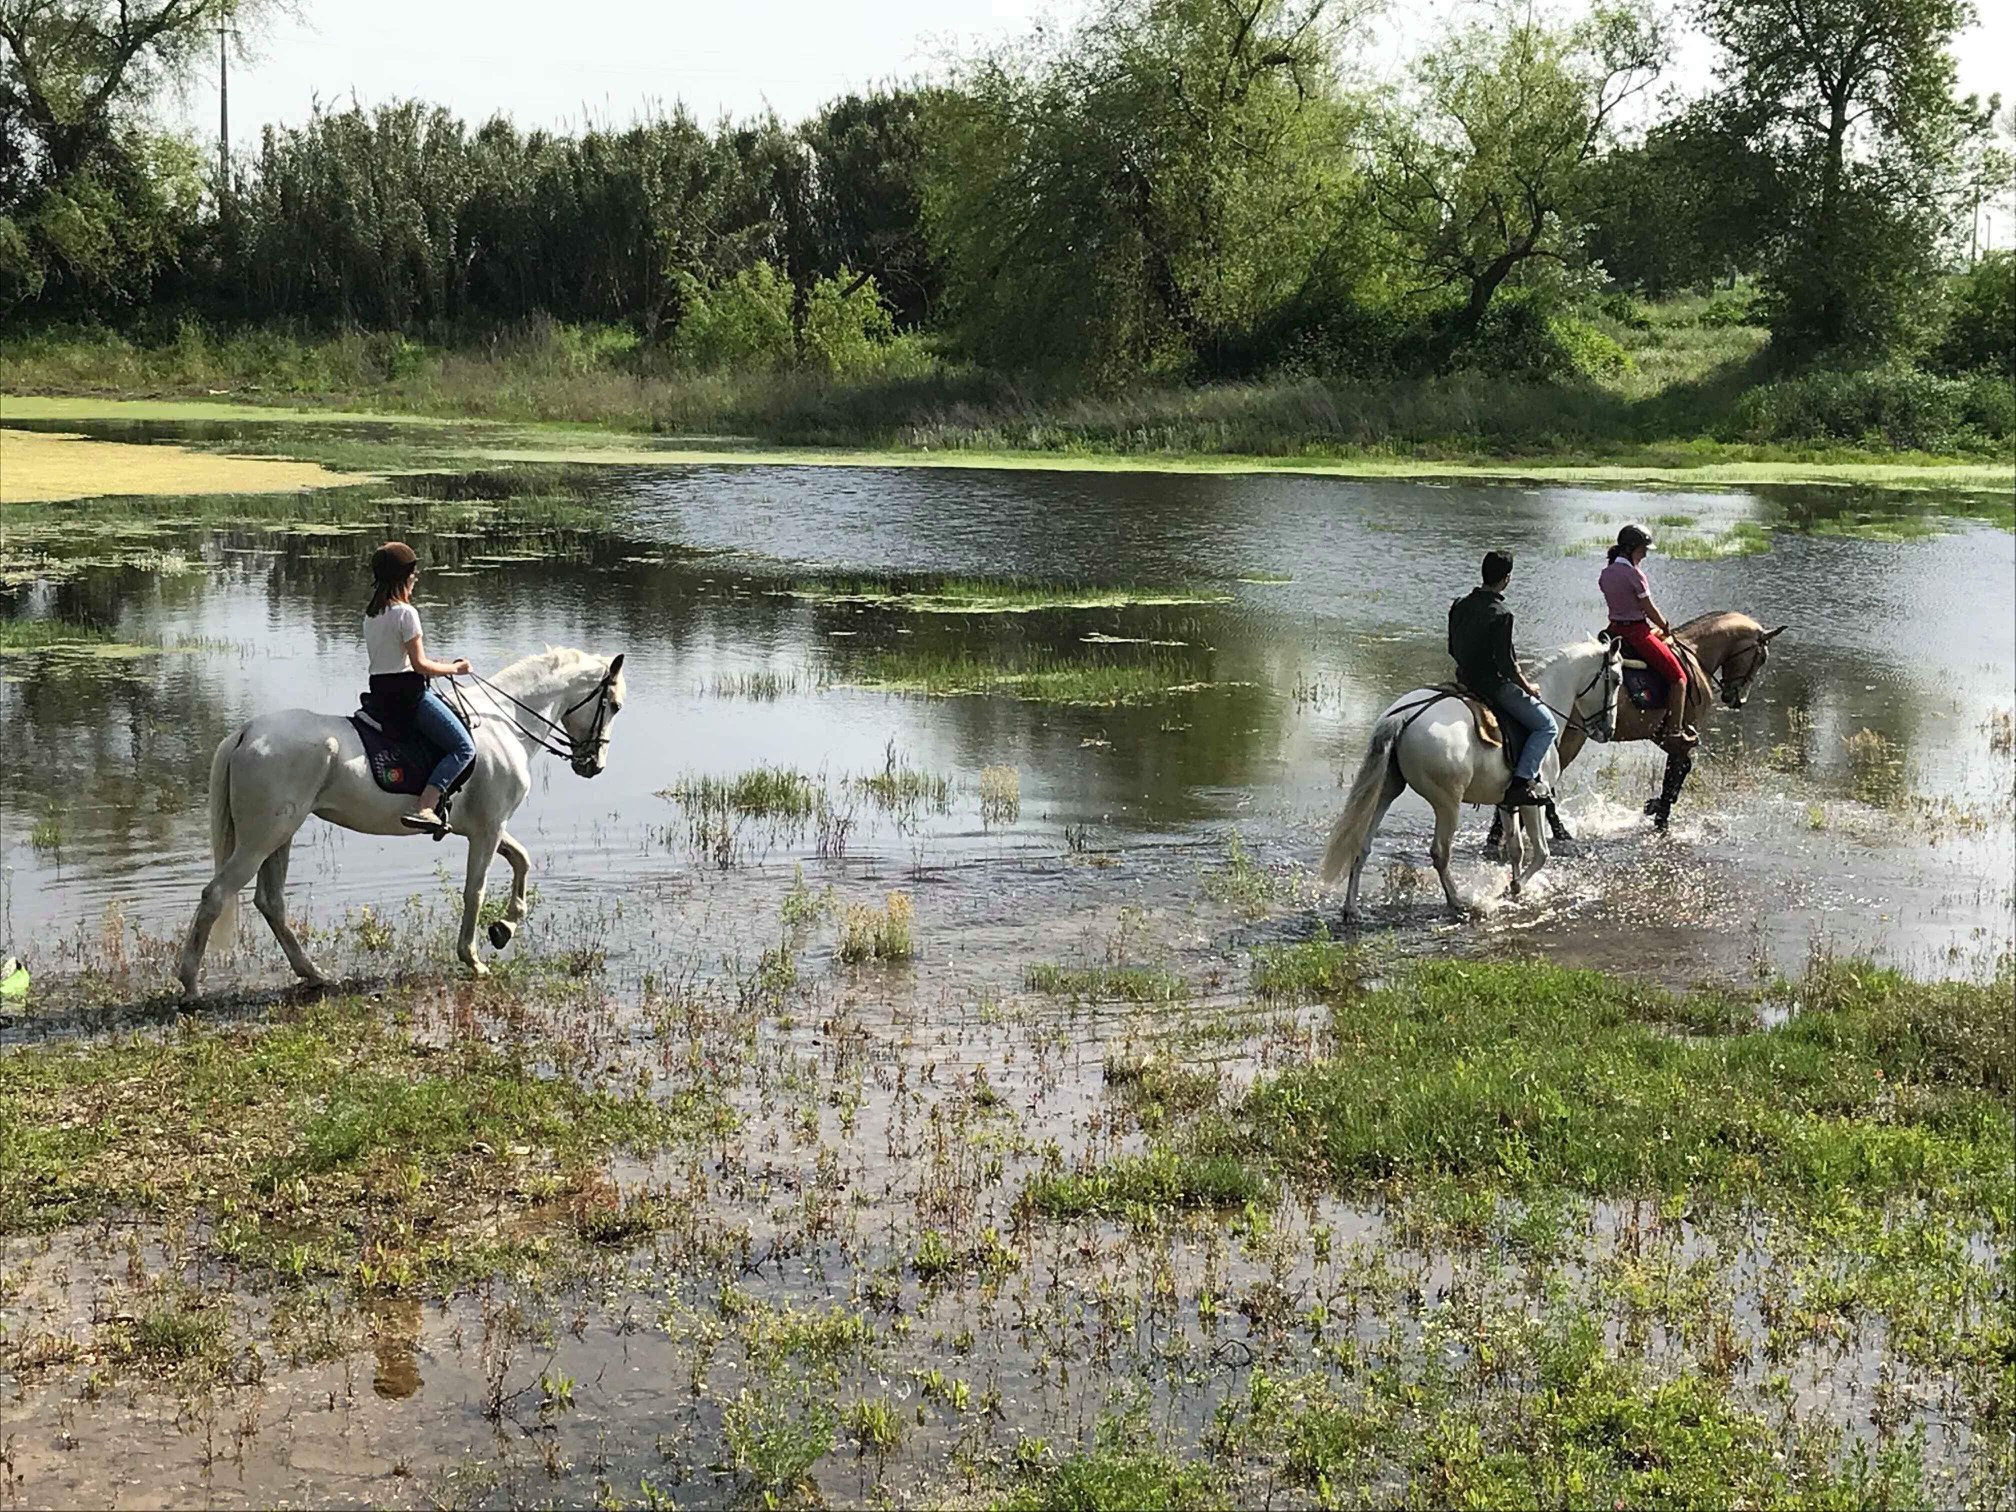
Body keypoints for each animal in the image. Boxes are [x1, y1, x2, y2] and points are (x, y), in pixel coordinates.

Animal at [177, 647, 627, 999]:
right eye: (615, 706)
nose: (595, 765)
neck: (504, 724)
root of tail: (246, 732)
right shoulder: (488, 828)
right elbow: (476, 891)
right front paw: (473, 958)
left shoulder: (489, 827)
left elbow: (522, 860)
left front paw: (504, 927)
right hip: (262, 838)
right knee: (217, 895)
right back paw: (190, 985)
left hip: (280, 836)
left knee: (271, 902)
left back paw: (314, 974)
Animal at [1320, 637, 1625, 921]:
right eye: (1617, 680)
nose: (1608, 730)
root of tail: (1405, 715)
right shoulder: (1533, 802)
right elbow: (1541, 853)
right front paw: (1511, 890)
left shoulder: (1507, 803)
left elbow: (1516, 849)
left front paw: (1514, 885)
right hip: (1447, 803)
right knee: (1440, 853)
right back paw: (1458, 903)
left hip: (1386, 791)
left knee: (1361, 845)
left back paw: (1351, 909)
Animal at [1486, 610, 1786, 848]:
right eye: (1761, 658)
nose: (1737, 699)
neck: (1696, 653)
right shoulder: (1678, 734)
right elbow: (1679, 770)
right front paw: (1660, 813)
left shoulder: (1662, 736)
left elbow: (1677, 769)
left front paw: (1657, 808)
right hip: (1571, 739)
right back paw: (1557, 832)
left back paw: (1503, 831)